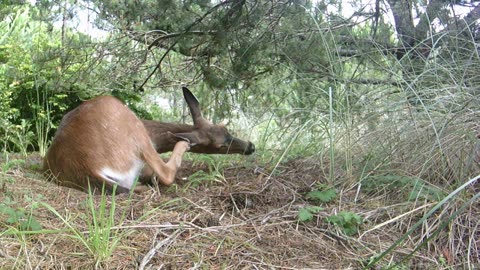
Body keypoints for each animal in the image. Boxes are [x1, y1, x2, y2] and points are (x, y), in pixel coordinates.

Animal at [43, 87, 255, 194]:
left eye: (226, 128)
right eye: (220, 145)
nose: (251, 146)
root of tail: (88, 168)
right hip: (134, 132)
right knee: (165, 173)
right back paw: (182, 147)